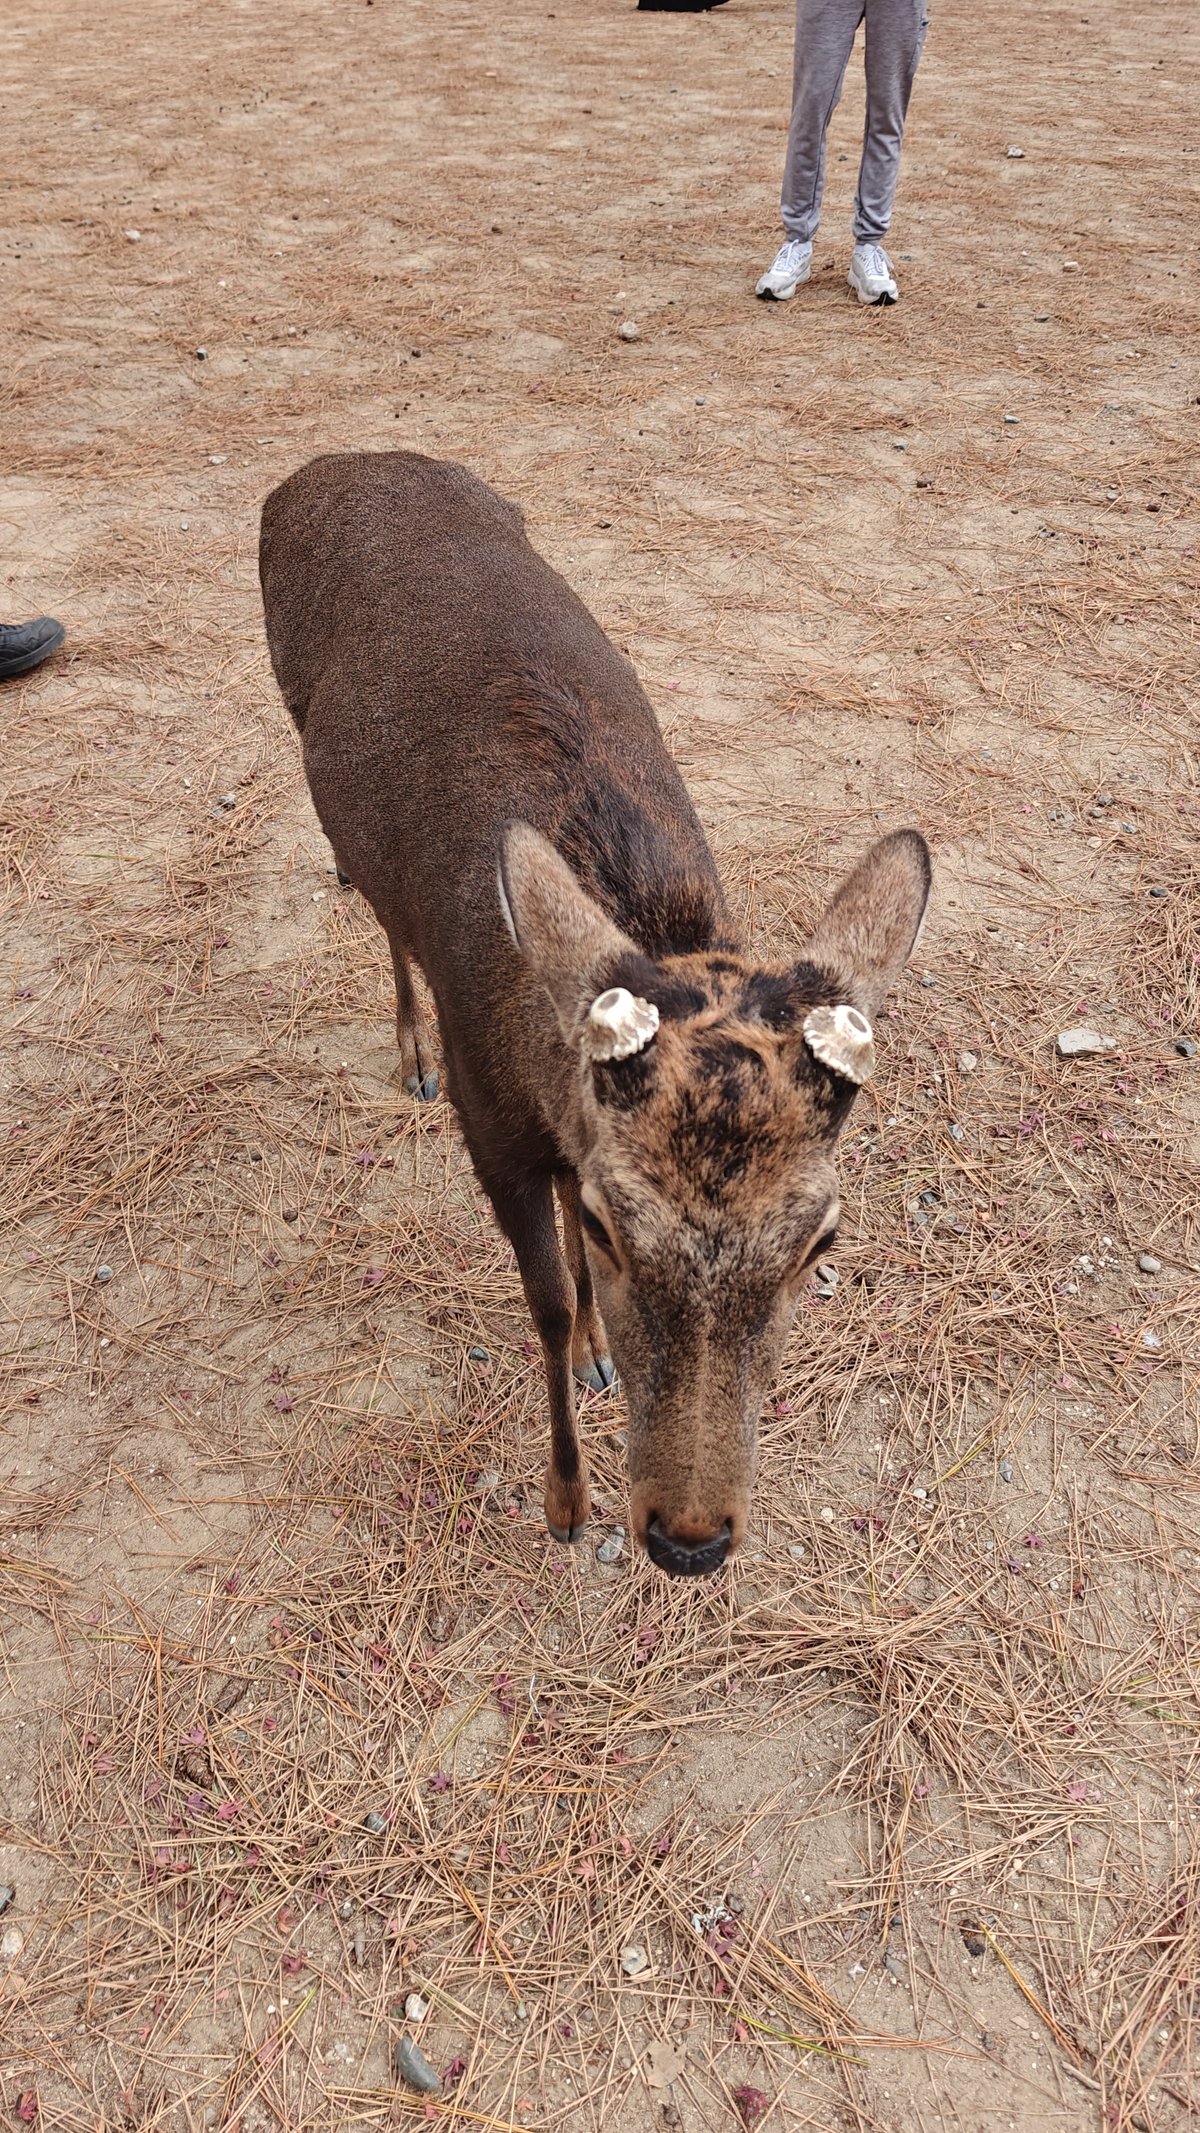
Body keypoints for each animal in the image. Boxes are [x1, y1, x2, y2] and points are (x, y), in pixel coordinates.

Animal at [259, 451, 930, 1579]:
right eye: (620, 1229)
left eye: (821, 1241)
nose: (690, 1538)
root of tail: (318, 468)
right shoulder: (492, 1130)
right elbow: (546, 1296)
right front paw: (566, 1498)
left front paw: (602, 1356)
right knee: (379, 907)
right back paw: (409, 1049)